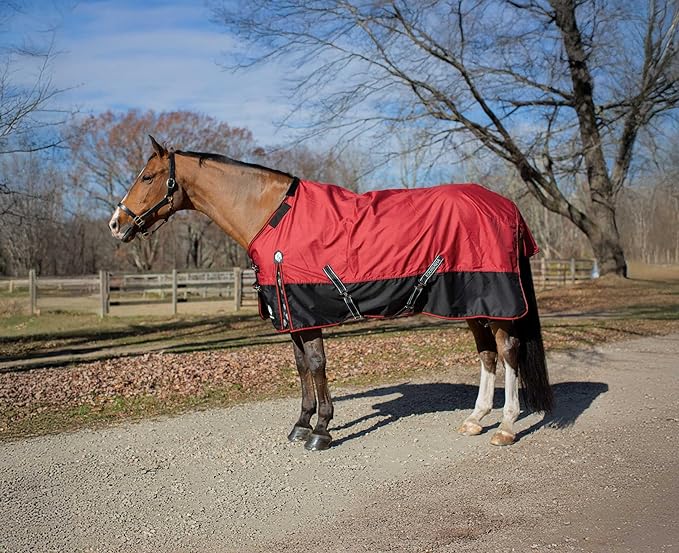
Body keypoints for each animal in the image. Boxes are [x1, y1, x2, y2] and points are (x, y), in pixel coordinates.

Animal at [109, 136, 553, 451]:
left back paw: (506, 426)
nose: (116, 223)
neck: (273, 216)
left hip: (496, 303)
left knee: (508, 352)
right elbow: (302, 367)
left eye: (147, 177)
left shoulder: (308, 311)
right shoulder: (291, 314)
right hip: (473, 305)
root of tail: (507, 207)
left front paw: (321, 431)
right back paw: (476, 420)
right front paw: (301, 425)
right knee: (487, 354)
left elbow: (317, 365)